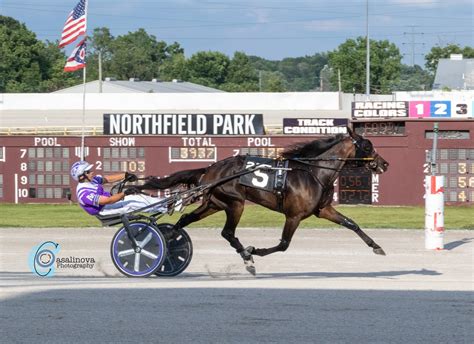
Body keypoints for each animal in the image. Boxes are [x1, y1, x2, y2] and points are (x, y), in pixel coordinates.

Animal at [137, 127, 388, 276]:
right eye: (367, 146)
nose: (384, 164)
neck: (313, 173)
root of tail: (209, 169)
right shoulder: (294, 215)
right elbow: (284, 244)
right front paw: (253, 250)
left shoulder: (322, 209)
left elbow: (351, 223)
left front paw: (377, 247)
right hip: (235, 203)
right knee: (227, 232)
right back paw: (246, 257)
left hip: (214, 203)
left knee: (184, 220)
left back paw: (166, 243)